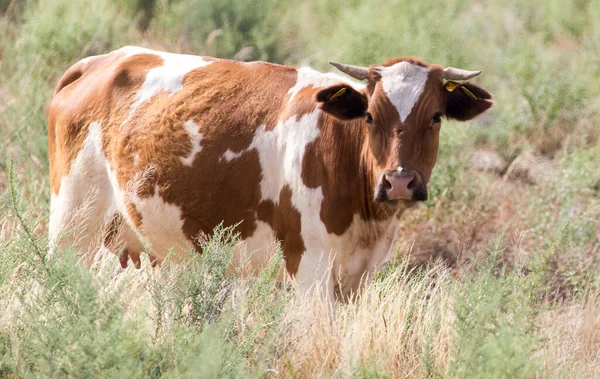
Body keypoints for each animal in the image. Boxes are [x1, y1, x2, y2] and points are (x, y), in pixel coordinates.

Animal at [48, 46, 492, 300]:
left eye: (435, 117)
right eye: (369, 115)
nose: (399, 181)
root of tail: (101, 60)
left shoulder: (358, 273)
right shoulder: (308, 265)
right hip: (73, 222)